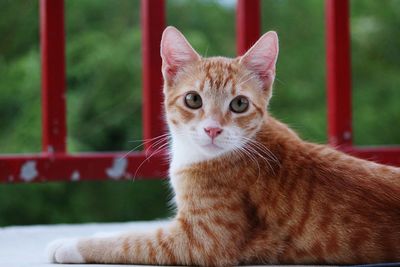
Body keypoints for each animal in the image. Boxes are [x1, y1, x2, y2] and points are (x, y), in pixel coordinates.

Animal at [47, 26, 400, 266]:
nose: (213, 128)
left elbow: (130, 240)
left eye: (239, 104)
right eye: (193, 99)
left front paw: (68, 245)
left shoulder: (201, 241)